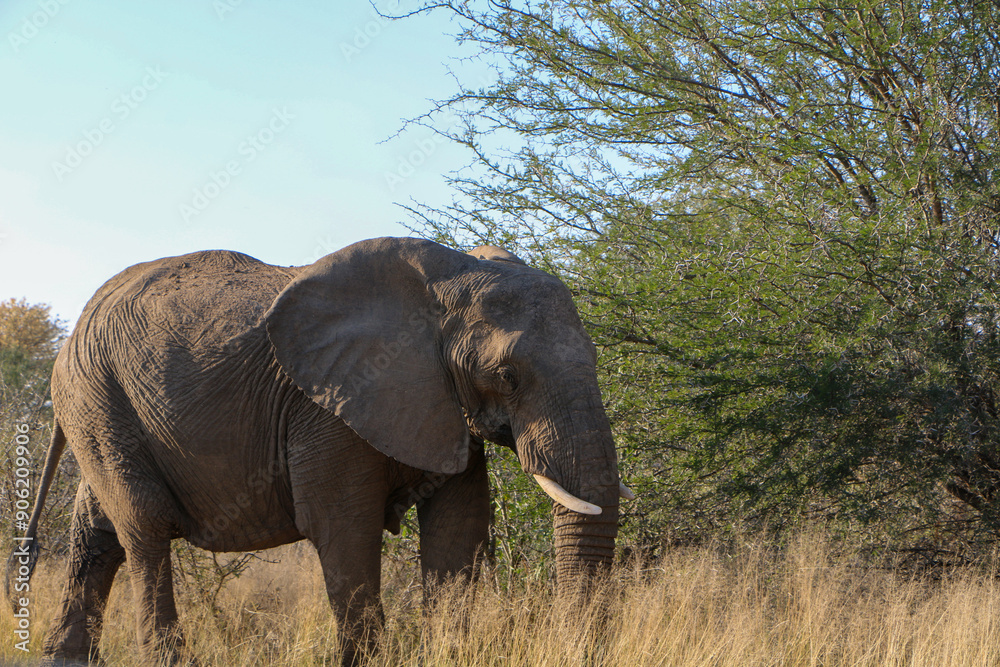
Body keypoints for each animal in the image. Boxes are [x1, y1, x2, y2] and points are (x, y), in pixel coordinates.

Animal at [10, 237, 631, 665]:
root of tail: (76, 326)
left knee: (98, 531)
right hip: (98, 397)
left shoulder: (441, 400)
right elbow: (344, 526)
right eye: (507, 376)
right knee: (144, 527)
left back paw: (64, 659)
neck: (449, 276)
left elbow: (459, 527)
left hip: (98, 407)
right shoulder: (329, 408)